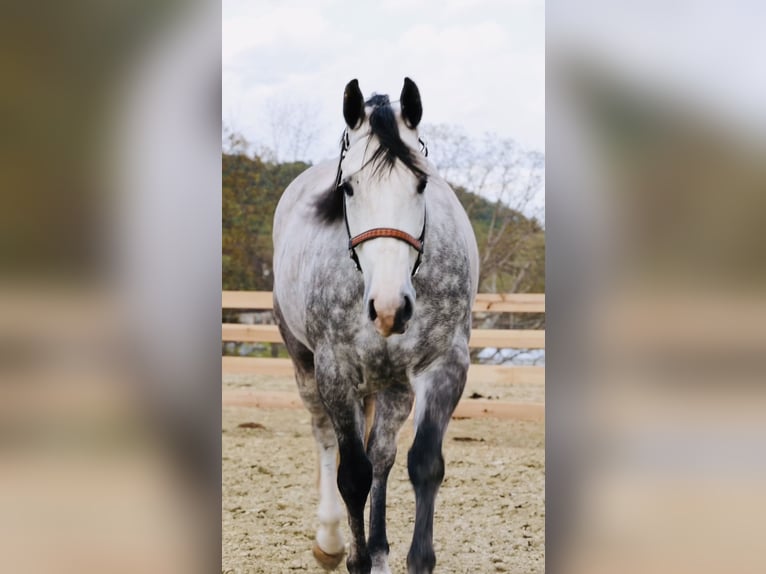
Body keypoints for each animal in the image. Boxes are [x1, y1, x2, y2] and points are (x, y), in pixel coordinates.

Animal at [272, 77, 479, 574]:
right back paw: (330, 540)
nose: (390, 309)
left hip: (394, 386)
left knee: (382, 456)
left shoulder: (446, 366)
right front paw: (354, 557)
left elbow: (422, 464)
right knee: (326, 438)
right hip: (305, 367)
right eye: (348, 189)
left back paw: (381, 549)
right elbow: (352, 475)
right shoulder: (334, 370)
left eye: (421, 183)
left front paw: (409, 558)